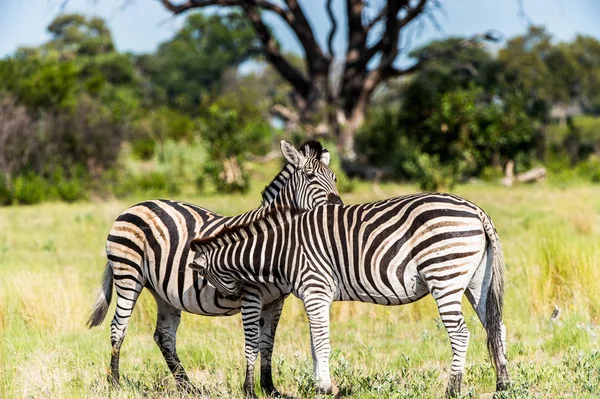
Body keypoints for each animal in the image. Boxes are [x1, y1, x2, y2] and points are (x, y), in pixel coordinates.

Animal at [87, 140, 344, 396]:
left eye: (334, 178)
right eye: (310, 176)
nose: (337, 206)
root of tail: (134, 207)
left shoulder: (276, 301)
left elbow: (267, 343)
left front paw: (270, 388)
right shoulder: (251, 295)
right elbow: (252, 342)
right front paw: (250, 390)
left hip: (163, 291)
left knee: (164, 336)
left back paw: (188, 386)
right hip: (128, 275)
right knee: (118, 327)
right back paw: (116, 383)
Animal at [190, 193, 508, 396]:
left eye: (209, 277)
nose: (235, 297)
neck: (283, 247)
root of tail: (476, 210)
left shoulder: (316, 288)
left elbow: (321, 342)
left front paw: (325, 386)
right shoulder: (313, 296)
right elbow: (314, 343)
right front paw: (318, 386)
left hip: (444, 274)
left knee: (461, 333)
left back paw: (452, 390)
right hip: (476, 281)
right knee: (497, 327)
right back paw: (502, 385)